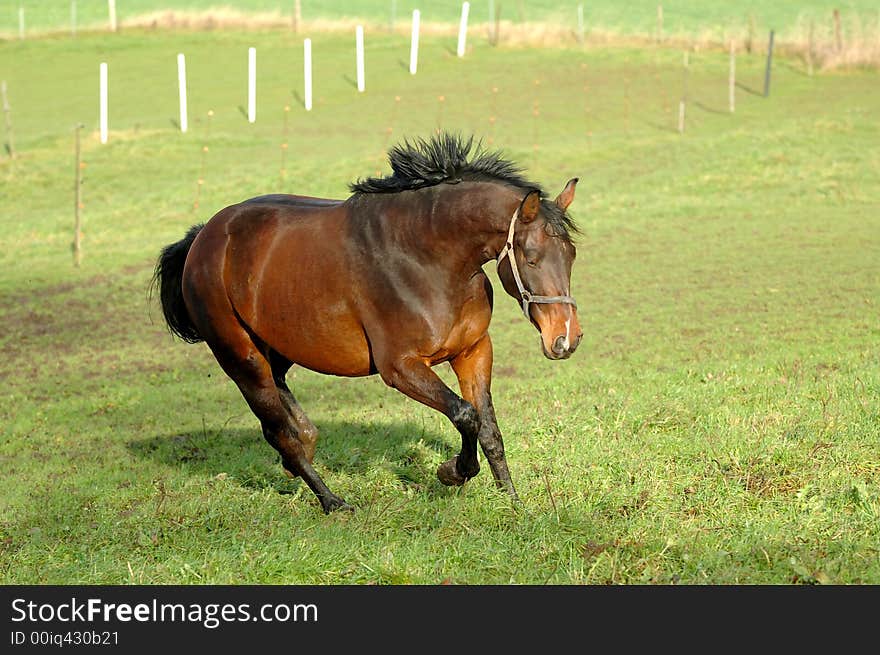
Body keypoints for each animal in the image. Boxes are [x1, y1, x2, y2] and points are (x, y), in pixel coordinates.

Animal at [155, 133, 584, 512]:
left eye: (571, 254)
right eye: (531, 257)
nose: (566, 339)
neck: (429, 259)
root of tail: (202, 239)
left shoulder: (473, 351)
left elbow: (489, 429)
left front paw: (513, 502)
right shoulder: (400, 367)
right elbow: (466, 415)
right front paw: (452, 472)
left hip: (278, 345)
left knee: (285, 408)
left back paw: (303, 449)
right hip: (241, 357)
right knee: (277, 429)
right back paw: (332, 501)